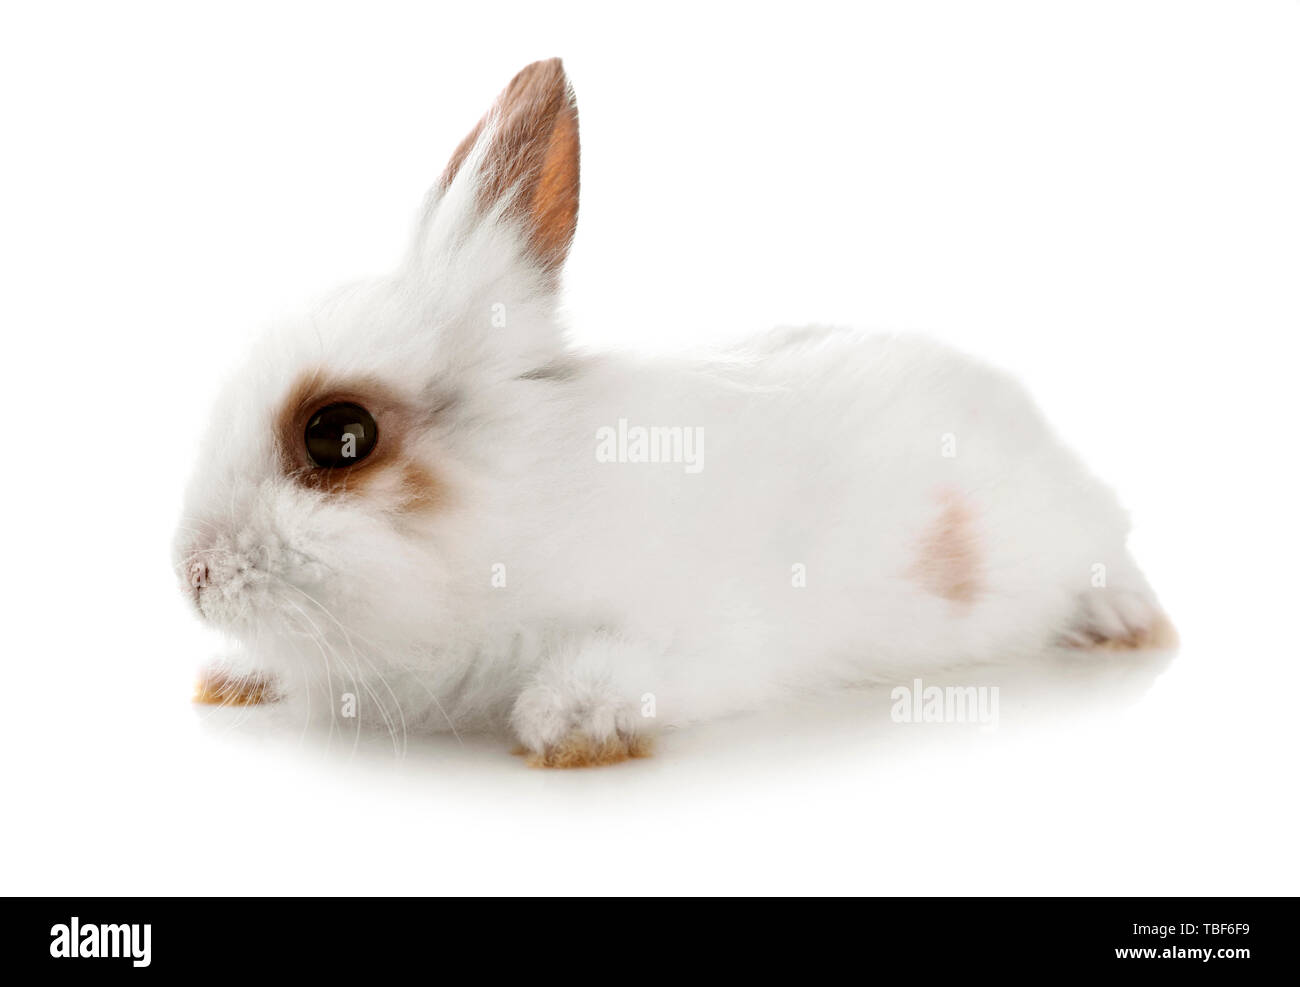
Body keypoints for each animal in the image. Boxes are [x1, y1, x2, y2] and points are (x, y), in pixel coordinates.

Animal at [175, 58, 1174, 768]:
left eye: (339, 435)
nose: (191, 573)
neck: (518, 506)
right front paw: (232, 677)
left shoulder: (709, 637)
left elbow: (635, 665)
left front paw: (570, 724)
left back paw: (1128, 624)